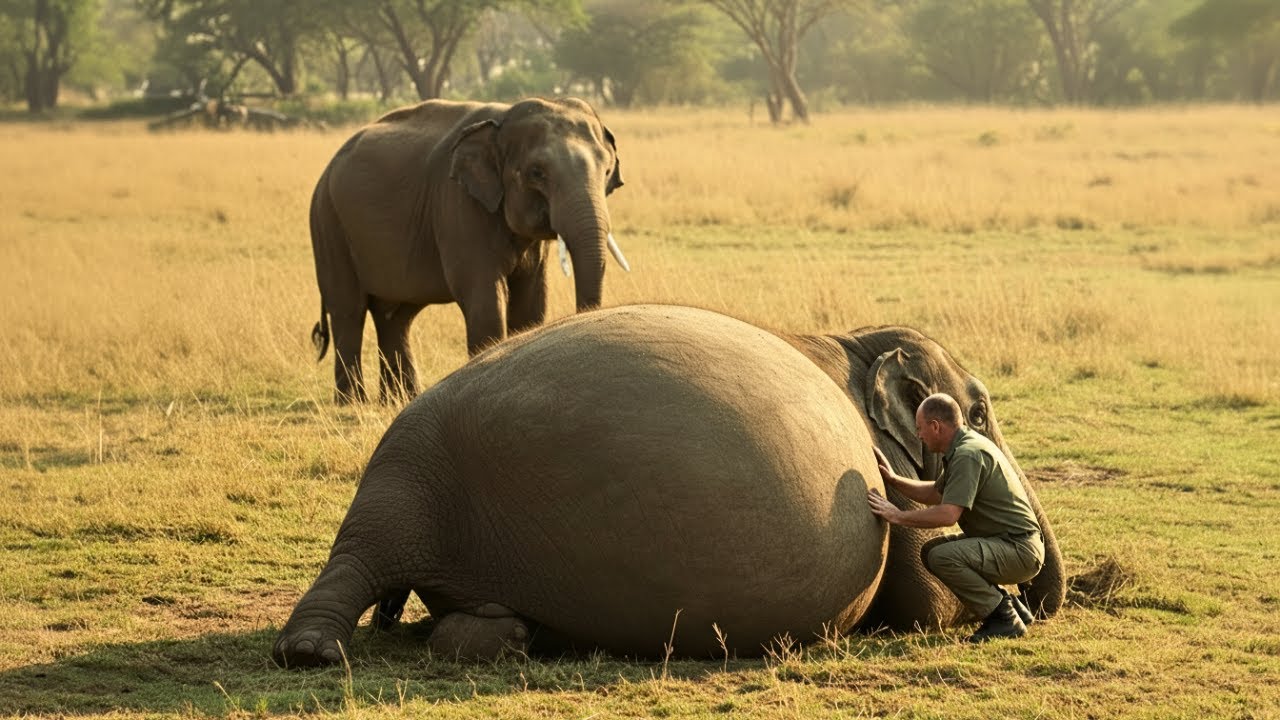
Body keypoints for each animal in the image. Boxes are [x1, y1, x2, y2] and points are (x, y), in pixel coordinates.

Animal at [273, 305, 1065, 666]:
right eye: (981, 412)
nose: (1039, 600)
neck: (857, 336)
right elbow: (924, 600)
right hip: (408, 466)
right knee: (367, 551)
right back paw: (312, 654)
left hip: (410, 467)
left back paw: (497, 634)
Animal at [308, 96, 626, 403]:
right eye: (537, 173)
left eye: (607, 170)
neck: (504, 118)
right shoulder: (457, 204)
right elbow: (483, 299)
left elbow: (531, 301)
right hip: (328, 223)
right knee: (348, 310)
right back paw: (353, 403)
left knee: (396, 316)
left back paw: (400, 399)